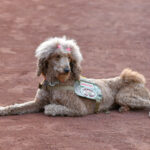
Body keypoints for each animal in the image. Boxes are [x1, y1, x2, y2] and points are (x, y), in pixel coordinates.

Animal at [0, 37, 150, 116]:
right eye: (57, 56)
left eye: (69, 58)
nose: (67, 69)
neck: (55, 83)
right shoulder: (37, 102)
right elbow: (16, 107)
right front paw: (3, 110)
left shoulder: (79, 109)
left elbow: (50, 108)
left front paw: (50, 107)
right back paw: (124, 108)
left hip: (123, 95)